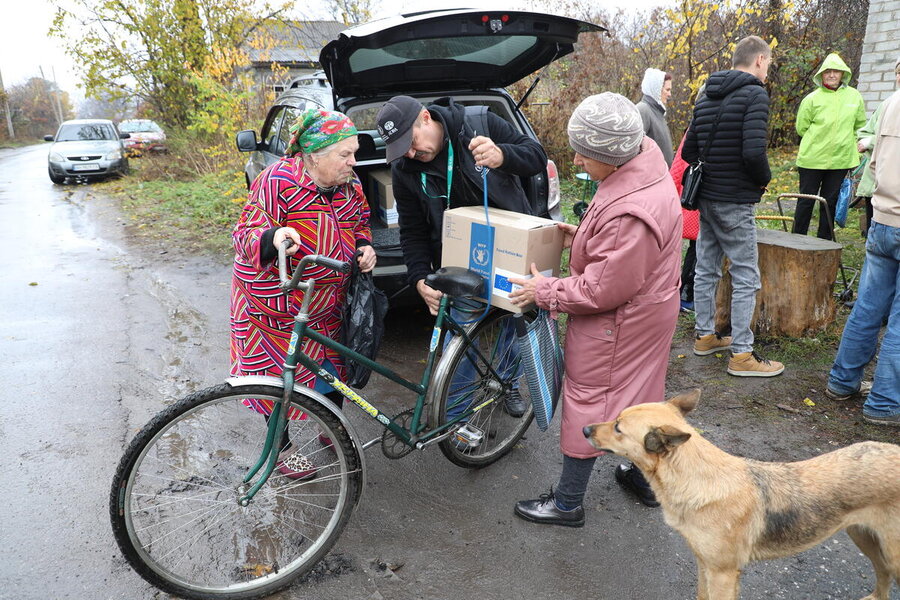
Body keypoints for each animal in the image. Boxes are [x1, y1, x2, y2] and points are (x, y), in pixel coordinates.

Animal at [584, 390, 900, 600]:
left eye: (618, 427)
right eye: (616, 419)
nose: (585, 428)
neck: (695, 479)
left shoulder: (723, 574)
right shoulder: (705, 565)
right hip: (863, 536)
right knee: (882, 574)